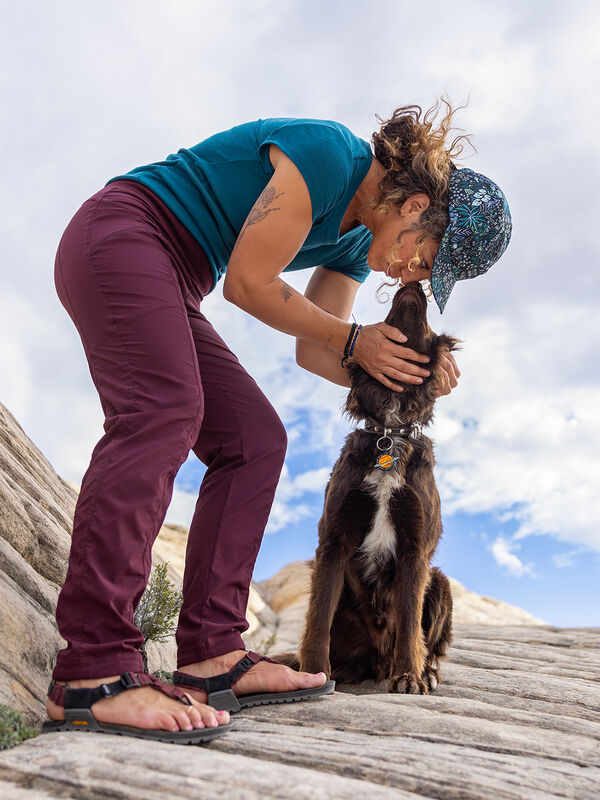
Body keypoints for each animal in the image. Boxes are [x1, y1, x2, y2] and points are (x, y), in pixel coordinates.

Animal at [276, 282, 460, 692]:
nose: (412, 285)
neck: (389, 435)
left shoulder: (415, 548)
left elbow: (409, 622)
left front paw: (409, 676)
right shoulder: (334, 540)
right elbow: (318, 619)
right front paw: (314, 672)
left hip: (440, 581)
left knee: (429, 642)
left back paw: (427, 671)